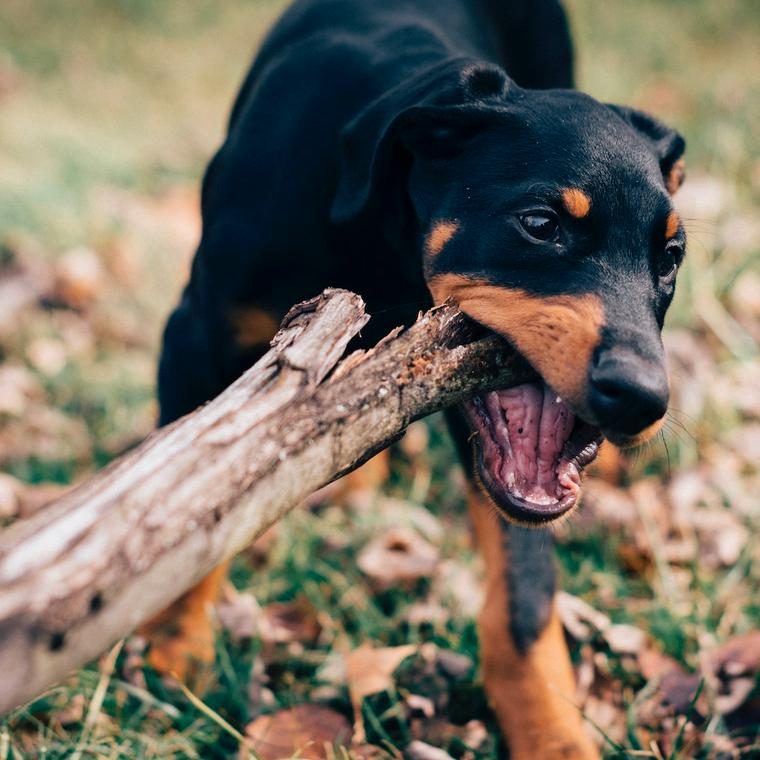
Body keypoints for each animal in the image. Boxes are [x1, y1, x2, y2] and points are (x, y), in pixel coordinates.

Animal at [145, 2, 684, 756]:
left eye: (672, 256)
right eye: (539, 223)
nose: (641, 398)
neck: (378, 236)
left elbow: (524, 597)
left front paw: (554, 735)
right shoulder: (192, 337)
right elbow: (190, 510)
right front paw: (174, 649)